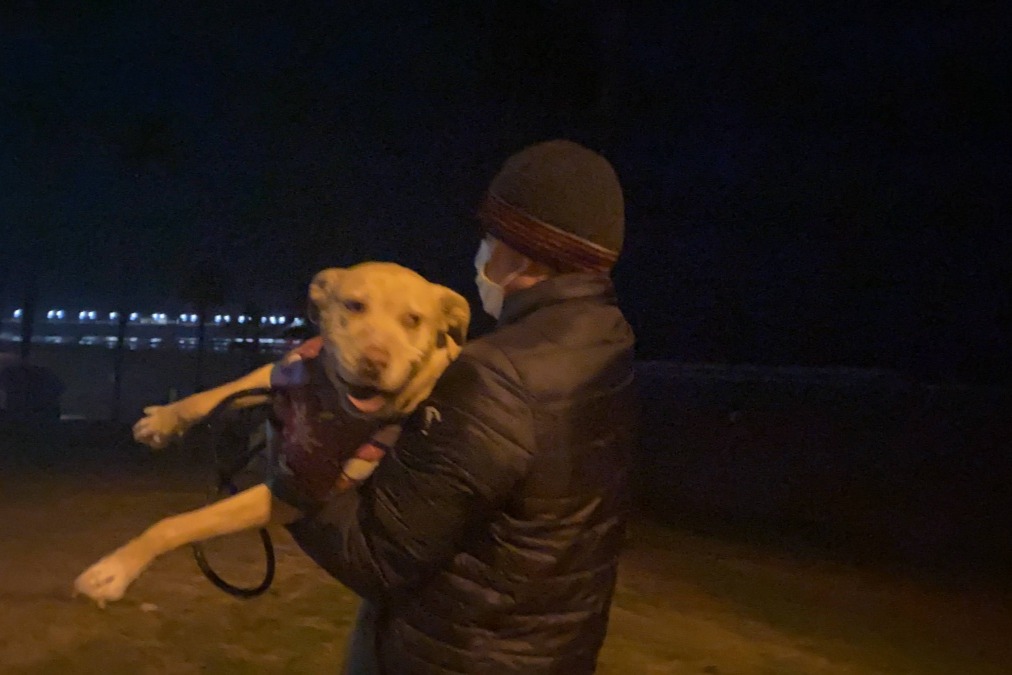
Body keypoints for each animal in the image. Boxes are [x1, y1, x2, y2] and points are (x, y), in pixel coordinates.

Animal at [73, 262, 470, 607]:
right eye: (354, 305)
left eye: (413, 320)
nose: (375, 362)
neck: (333, 405)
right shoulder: (283, 371)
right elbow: (214, 393)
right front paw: (163, 421)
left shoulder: (295, 493)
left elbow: (180, 523)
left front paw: (113, 571)